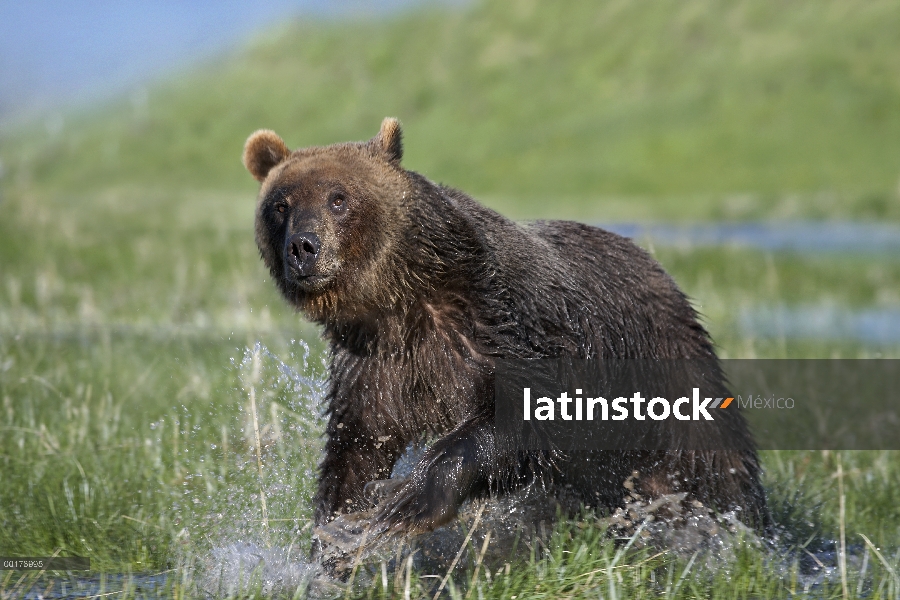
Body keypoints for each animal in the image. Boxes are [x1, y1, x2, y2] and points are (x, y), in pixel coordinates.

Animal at [241, 119, 768, 540]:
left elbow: (526, 414)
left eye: (339, 198)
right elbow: (355, 449)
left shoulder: (500, 324)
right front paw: (338, 530)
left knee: (716, 462)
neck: (402, 301)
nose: (303, 247)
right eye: (281, 205)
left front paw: (407, 501)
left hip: (668, 368)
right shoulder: (373, 366)